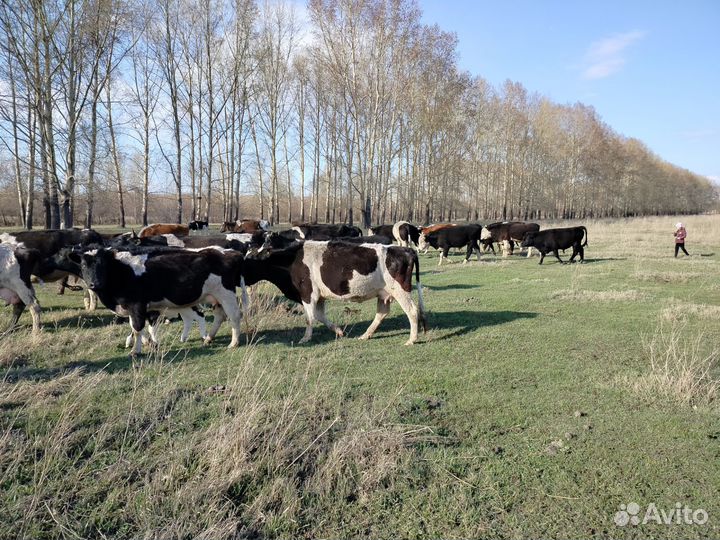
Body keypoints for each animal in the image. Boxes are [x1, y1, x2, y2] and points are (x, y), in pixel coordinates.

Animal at [76, 247, 245, 355]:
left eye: (102, 264)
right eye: (83, 265)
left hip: (226, 294)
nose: (94, 283)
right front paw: (148, 344)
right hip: (216, 298)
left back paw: (233, 343)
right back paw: (209, 338)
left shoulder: (137, 305)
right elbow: (135, 327)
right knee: (220, 316)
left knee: (234, 316)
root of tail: (229, 252)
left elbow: (137, 328)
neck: (122, 272)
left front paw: (135, 351)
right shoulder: (132, 308)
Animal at [244, 240, 427, 345]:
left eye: (252, 260)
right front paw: (339, 331)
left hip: (400, 290)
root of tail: (405, 250)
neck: (291, 261)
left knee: (412, 311)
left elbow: (309, 318)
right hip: (384, 294)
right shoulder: (319, 296)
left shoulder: (308, 293)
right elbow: (318, 316)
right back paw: (365, 335)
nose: (241, 278)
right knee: (382, 313)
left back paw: (411, 339)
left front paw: (305, 338)